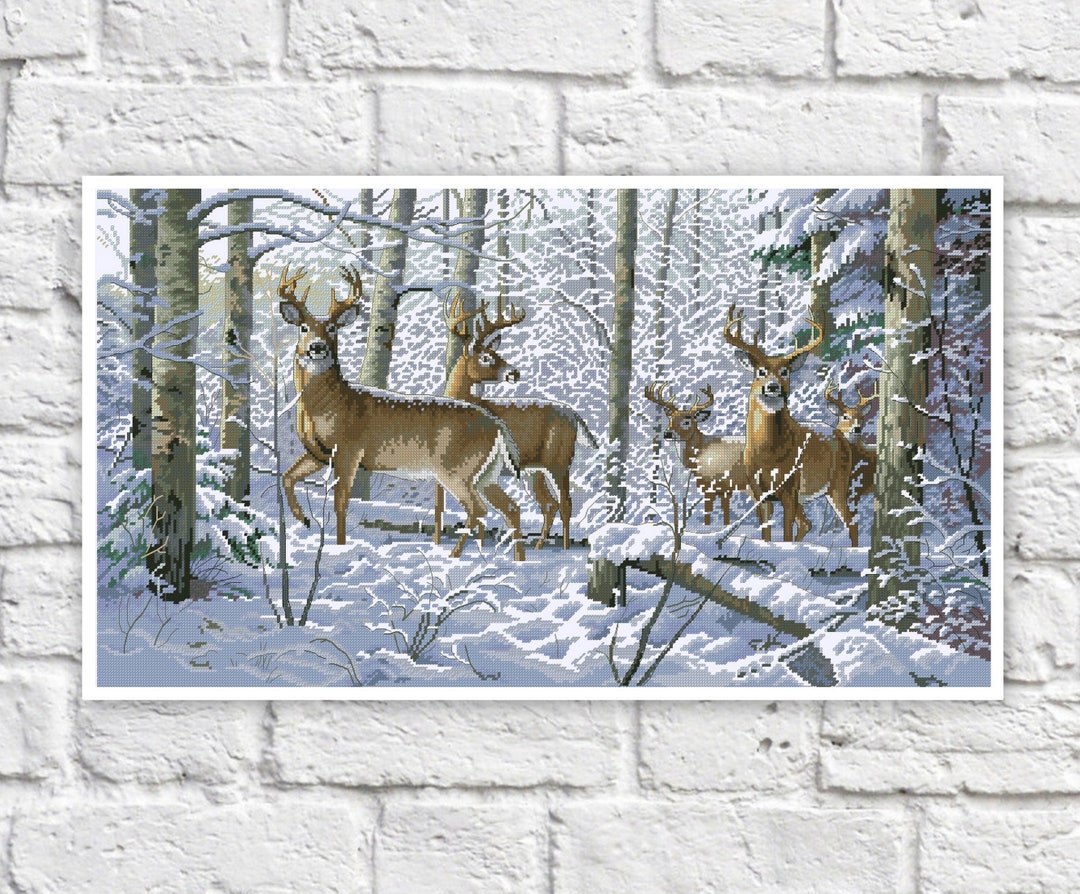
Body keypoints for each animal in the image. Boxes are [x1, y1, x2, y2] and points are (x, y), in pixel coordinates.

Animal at [277, 266, 526, 562]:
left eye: (332, 328)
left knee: (478, 509)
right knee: (510, 508)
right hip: (486, 473)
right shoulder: (318, 453)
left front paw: (339, 547)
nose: (317, 347)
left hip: (455, 467)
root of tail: (497, 425)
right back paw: (518, 561)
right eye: (303, 327)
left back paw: (452, 556)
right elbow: (287, 476)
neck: (330, 406)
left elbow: (340, 504)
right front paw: (302, 519)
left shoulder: (349, 450)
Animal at [434, 294, 599, 549]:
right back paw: (539, 545)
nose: (514, 373)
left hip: (559, 461)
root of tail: (573, 414)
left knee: (565, 503)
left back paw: (563, 546)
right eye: (486, 357)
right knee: (549, 504)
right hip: (534, 471)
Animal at [643, 381, 750, 526]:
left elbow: (708, 513)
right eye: (670, 419)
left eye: (687, 421)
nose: (668, 433)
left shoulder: (709, 484)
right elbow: (726, 515)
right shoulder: (725, 488)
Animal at [723, 305, 862, 546]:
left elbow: (786, 534)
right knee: (807, 523)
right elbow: (766, 532)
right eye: (760, 371)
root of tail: (840, 436)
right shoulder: (759, 490)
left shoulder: (790, 487)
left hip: (838, 482)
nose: (773, 387)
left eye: (785, 371)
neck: (768, 453)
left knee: (851, 522)